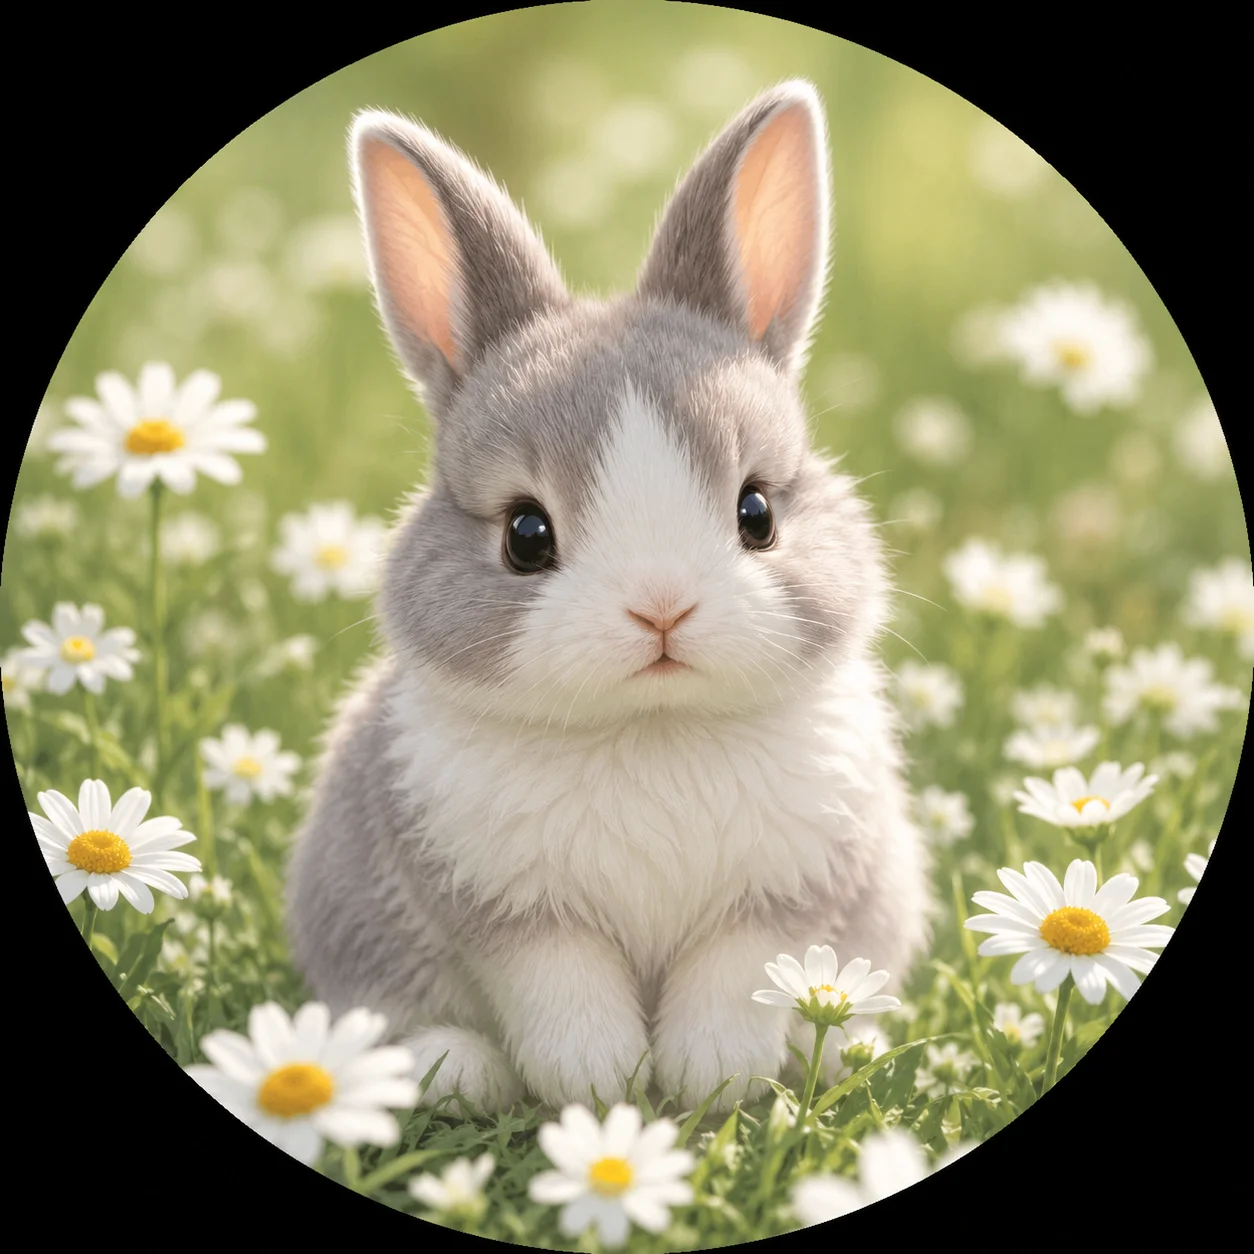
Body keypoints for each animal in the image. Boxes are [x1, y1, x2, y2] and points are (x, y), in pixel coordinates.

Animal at [284, 78, 934, 1116]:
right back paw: (450, 1070)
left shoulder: (781, 902)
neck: (650, 725)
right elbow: (566, 996)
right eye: (525, 535)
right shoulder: (513, 915)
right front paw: (601, 1086)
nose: (661, 609)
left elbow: (732, 986)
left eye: (756, 512)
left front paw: (709, 1080)